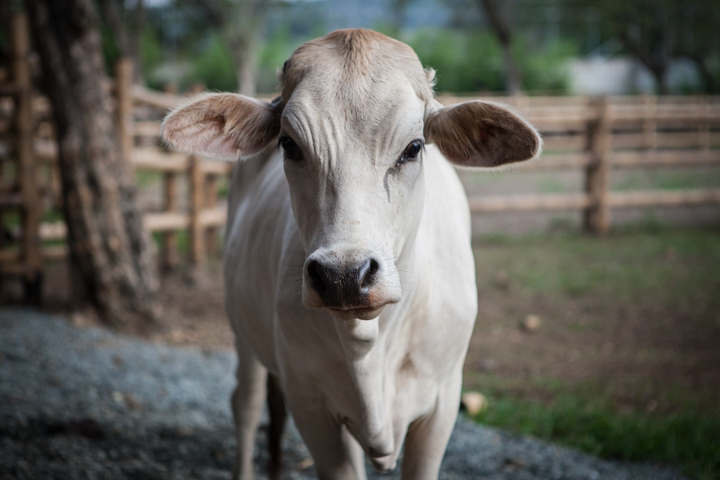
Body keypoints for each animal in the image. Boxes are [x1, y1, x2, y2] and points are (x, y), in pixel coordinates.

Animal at [161, 29, 541, 480]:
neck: (371, 349)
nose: (343, 275)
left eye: (414, 147)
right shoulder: (311, 405)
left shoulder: (443, 402)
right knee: (247, 404)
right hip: (243, 331)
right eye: (289, 145)